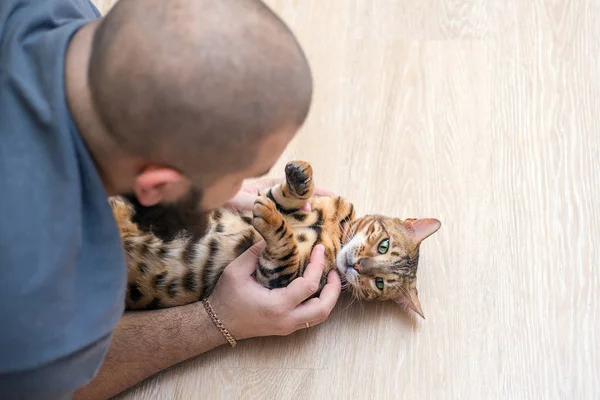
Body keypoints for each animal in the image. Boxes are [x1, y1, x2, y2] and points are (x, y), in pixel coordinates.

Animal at [111, 159, 440, 318]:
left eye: (379, 283)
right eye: (383, 245)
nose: (358, 265)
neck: (335, 230)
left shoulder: (277, 277)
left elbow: (286, 246)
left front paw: (270, 219)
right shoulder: (284, 200)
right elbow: (285, 196)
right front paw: (301, 176)